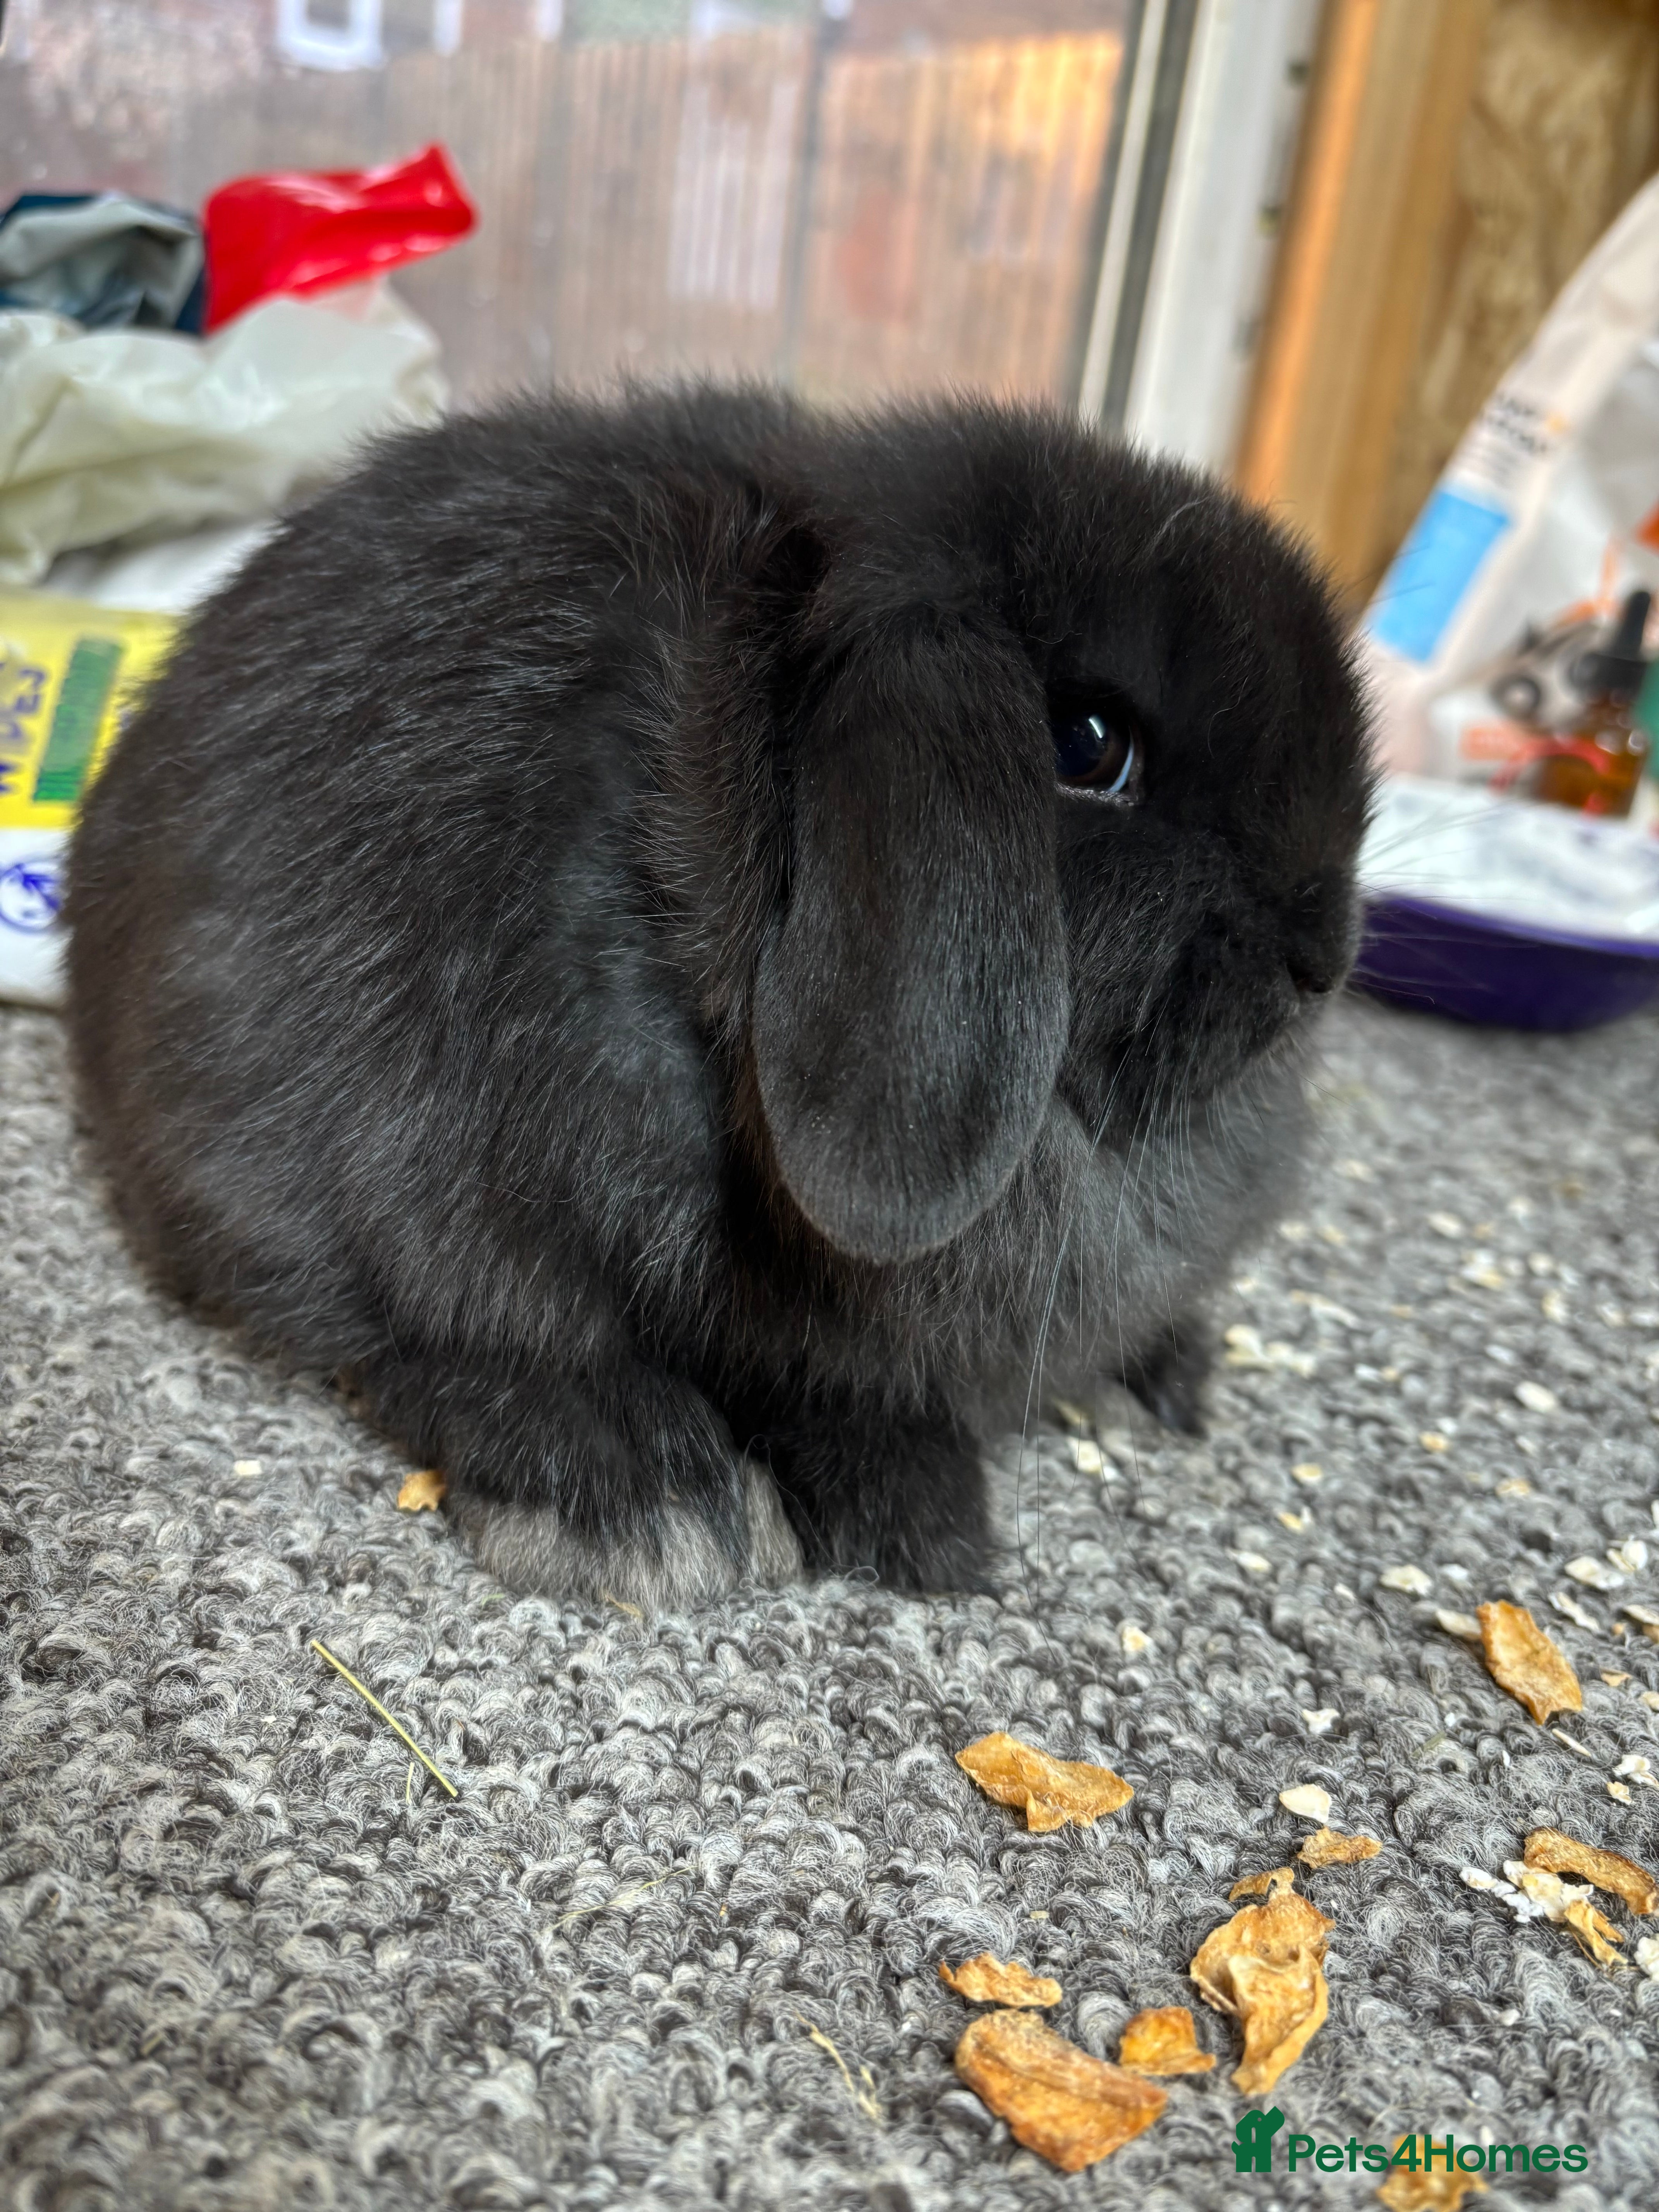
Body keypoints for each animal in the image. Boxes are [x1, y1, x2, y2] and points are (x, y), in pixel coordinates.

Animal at [65, 384, 1371, 1608]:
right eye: (1088, 742)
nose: (1320, 954)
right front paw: (924, 1524)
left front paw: (1163, 1370)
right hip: (301, 1156)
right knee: (400, 1335)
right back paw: (645, 1499)